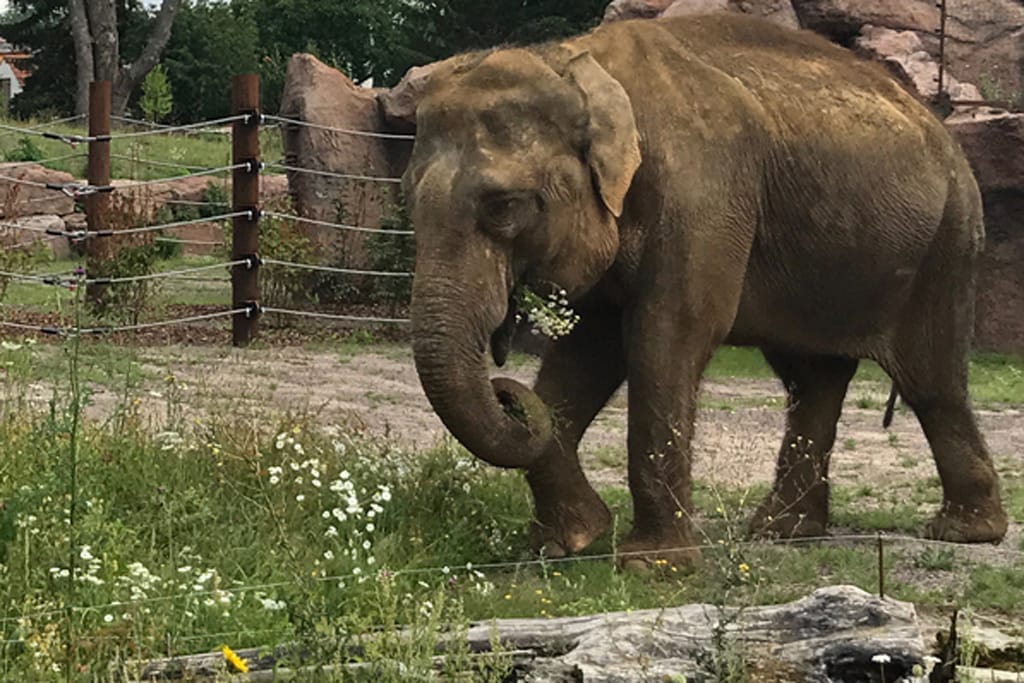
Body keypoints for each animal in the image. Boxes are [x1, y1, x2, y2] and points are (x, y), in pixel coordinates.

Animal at [401, 12, 1007, 565]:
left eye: (504, 206)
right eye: (406, 199)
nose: (504, 384)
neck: (576, 64)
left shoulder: (704, 192)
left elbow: (667, 338)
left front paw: (652, 565)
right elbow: (588, 354)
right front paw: (568, 542)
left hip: (948, 243)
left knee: (931, 381)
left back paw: (962, 532)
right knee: (812, 379)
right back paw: (780, 533)